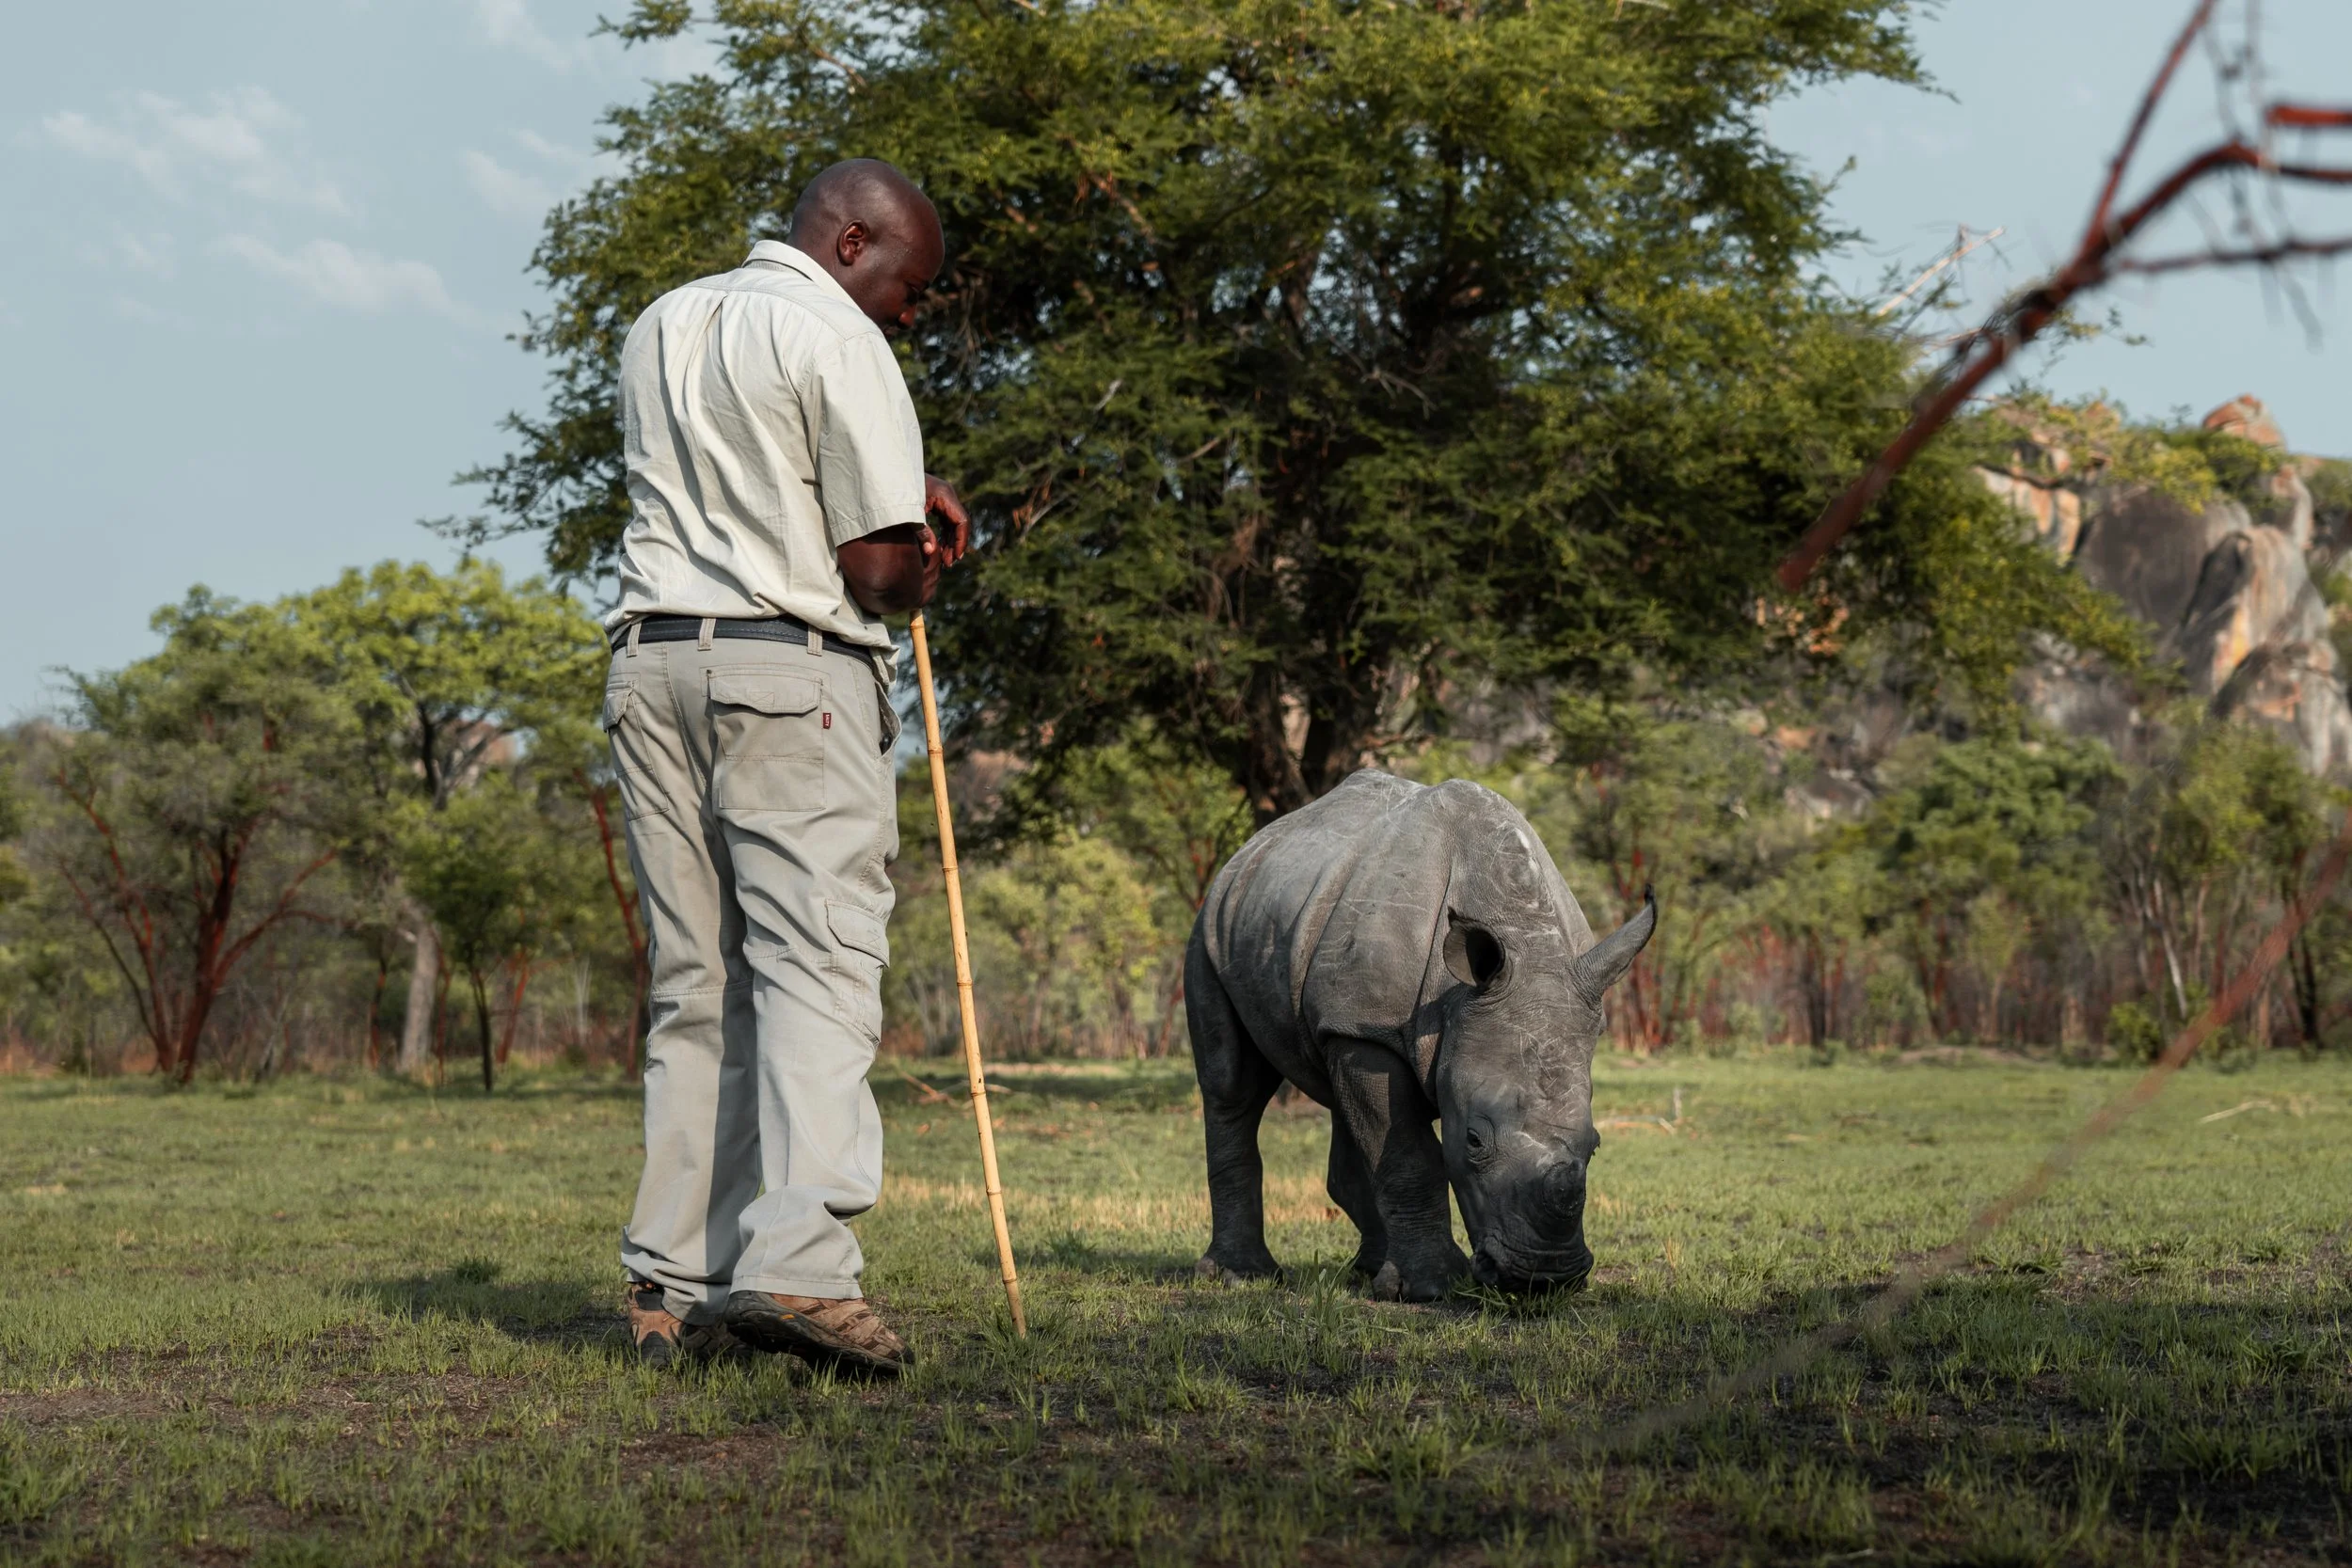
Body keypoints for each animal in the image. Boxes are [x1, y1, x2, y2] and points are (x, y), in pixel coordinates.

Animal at [1186, 770, 1655, 1301]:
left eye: (1594, 1144)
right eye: (1473, 1140)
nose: (1543, 1278)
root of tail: (1248, 851)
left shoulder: (1356, 1023)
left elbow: (1390, 1142)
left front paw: (1403, 1284)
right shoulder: (1368, 1031)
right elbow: (1411, 1157)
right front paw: (1431, 1287)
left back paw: (1371, 1272)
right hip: (1210, 929)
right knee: (1231, 1086)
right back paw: (1242, 1276)